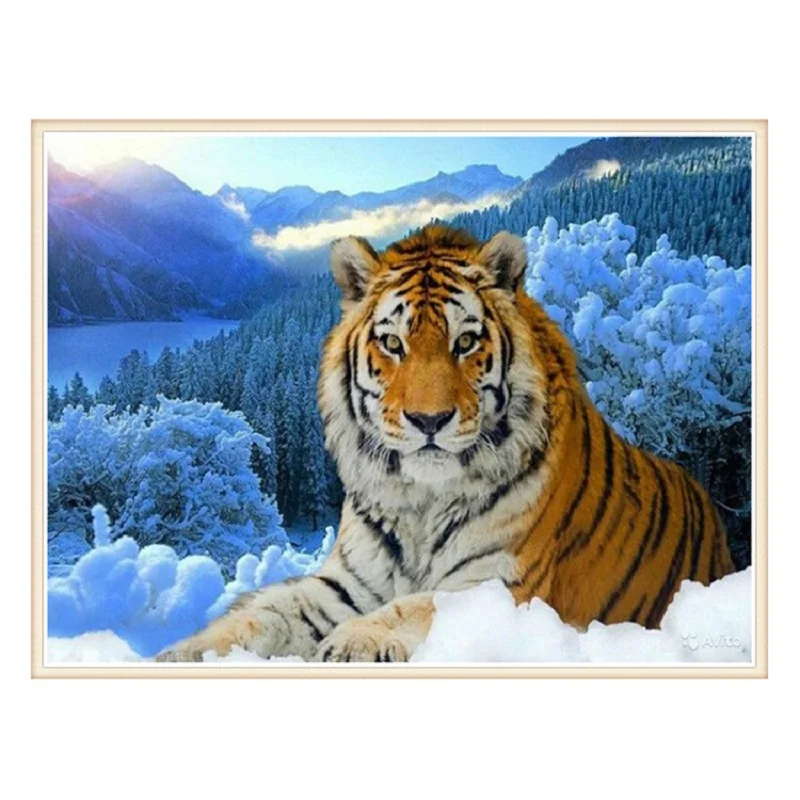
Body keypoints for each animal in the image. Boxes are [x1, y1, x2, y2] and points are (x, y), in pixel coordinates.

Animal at [156, 224, 735, 663]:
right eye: (393, 343)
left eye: (466, 341)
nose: (428, 420)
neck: (420, 501)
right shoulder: (346, 584)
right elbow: (264, 613)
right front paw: (182, 653)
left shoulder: (501, 585)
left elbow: (416, 605)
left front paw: (354, 642)